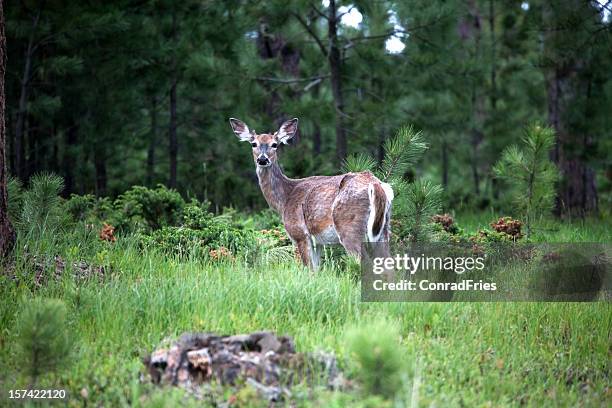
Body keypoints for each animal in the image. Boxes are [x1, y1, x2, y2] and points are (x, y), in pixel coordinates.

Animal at [228, 118, 392, 270]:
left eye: (275, 144)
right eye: (253, 144)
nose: (262, 159)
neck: (285, 199)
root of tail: (375, 183)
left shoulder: (300, 233)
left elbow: (309, 270)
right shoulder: (317, 241)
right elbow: (317, 270)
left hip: (349, 225)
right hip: (383, 228)